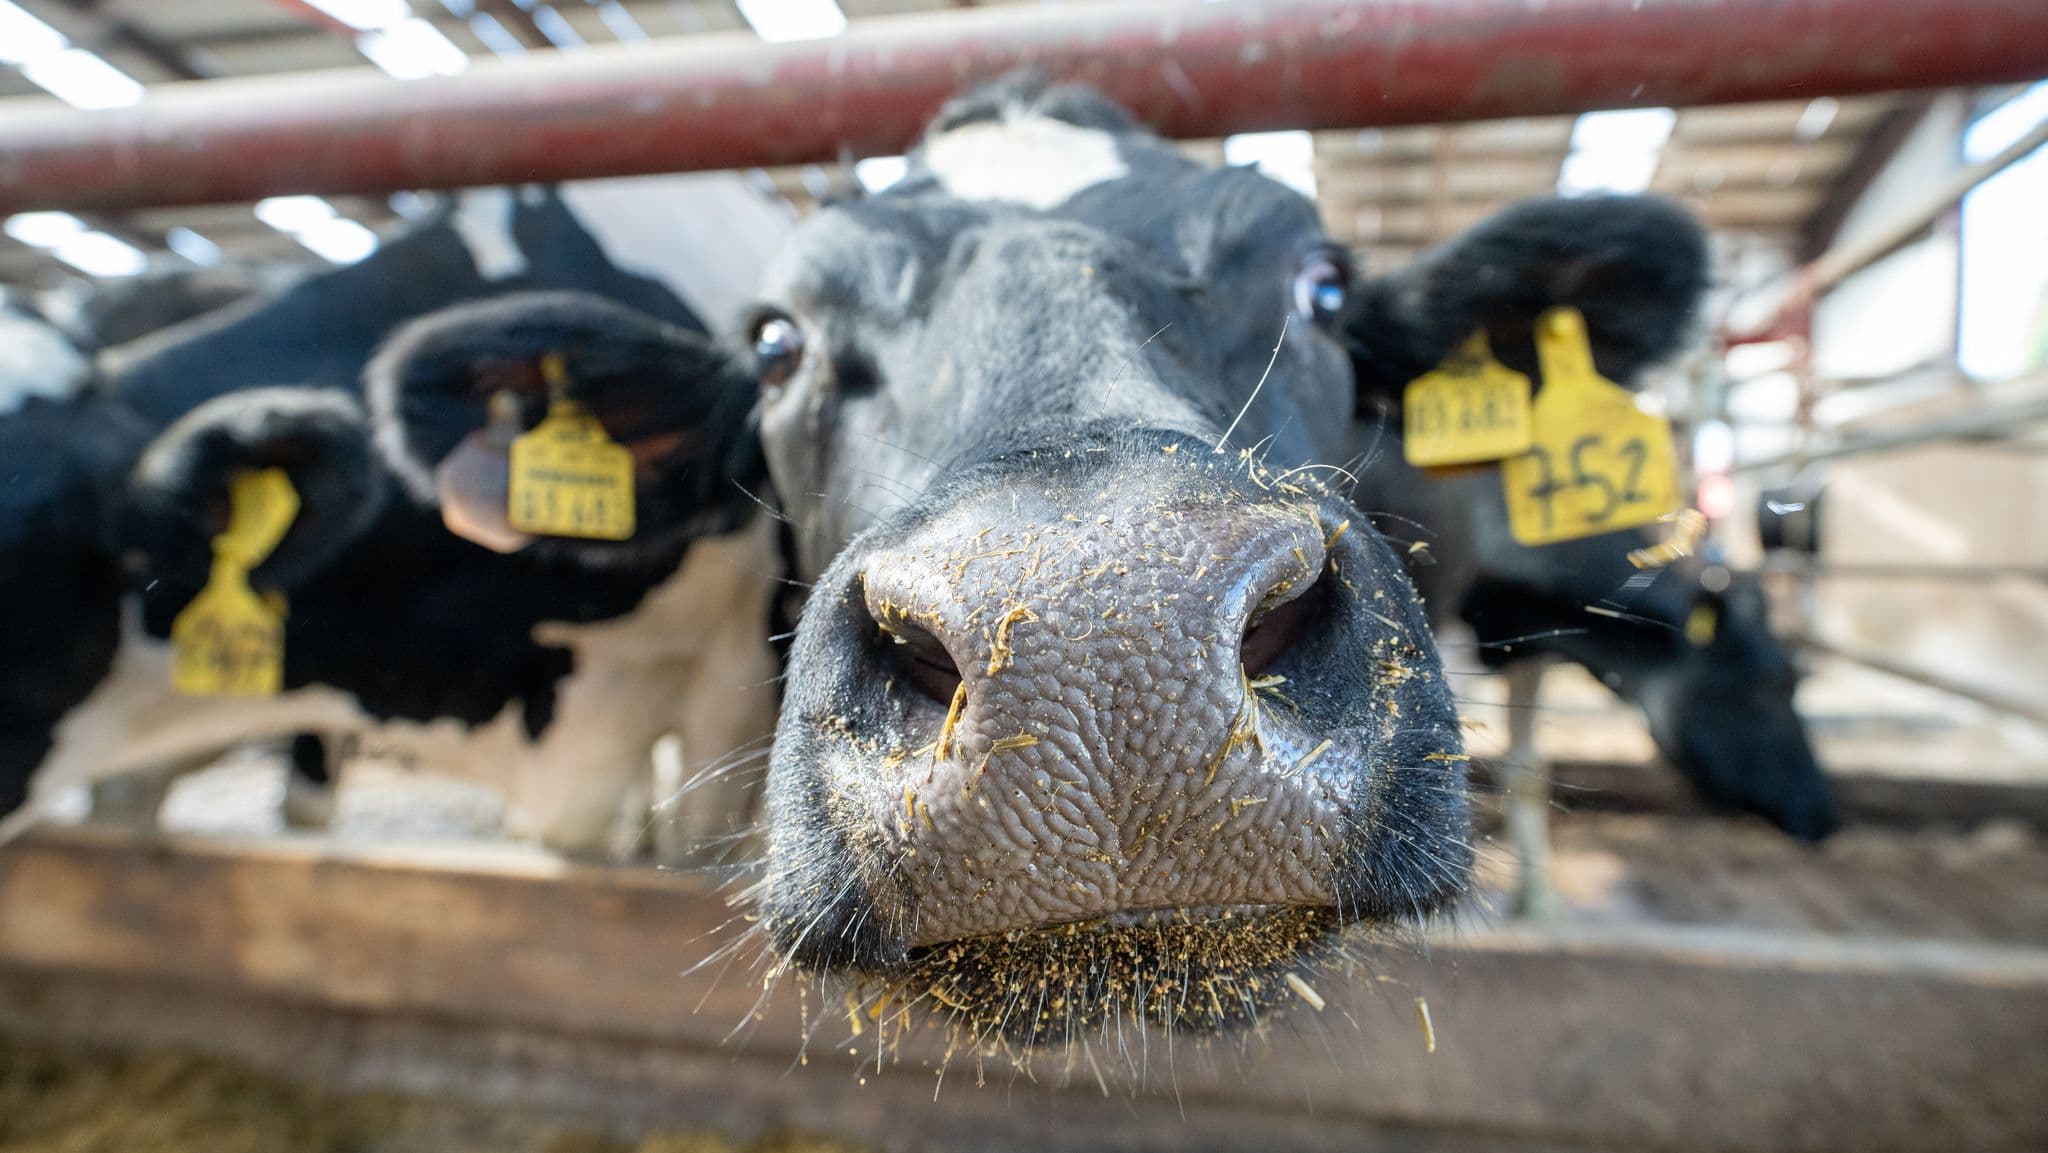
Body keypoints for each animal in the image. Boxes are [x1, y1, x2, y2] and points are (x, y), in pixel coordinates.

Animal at [1341, 197, 1840, 914]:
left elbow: (1526, 767)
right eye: (1771, 682)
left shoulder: (1530, 638)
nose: (1822, 816)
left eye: (1799, 681)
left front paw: (1538, 898)